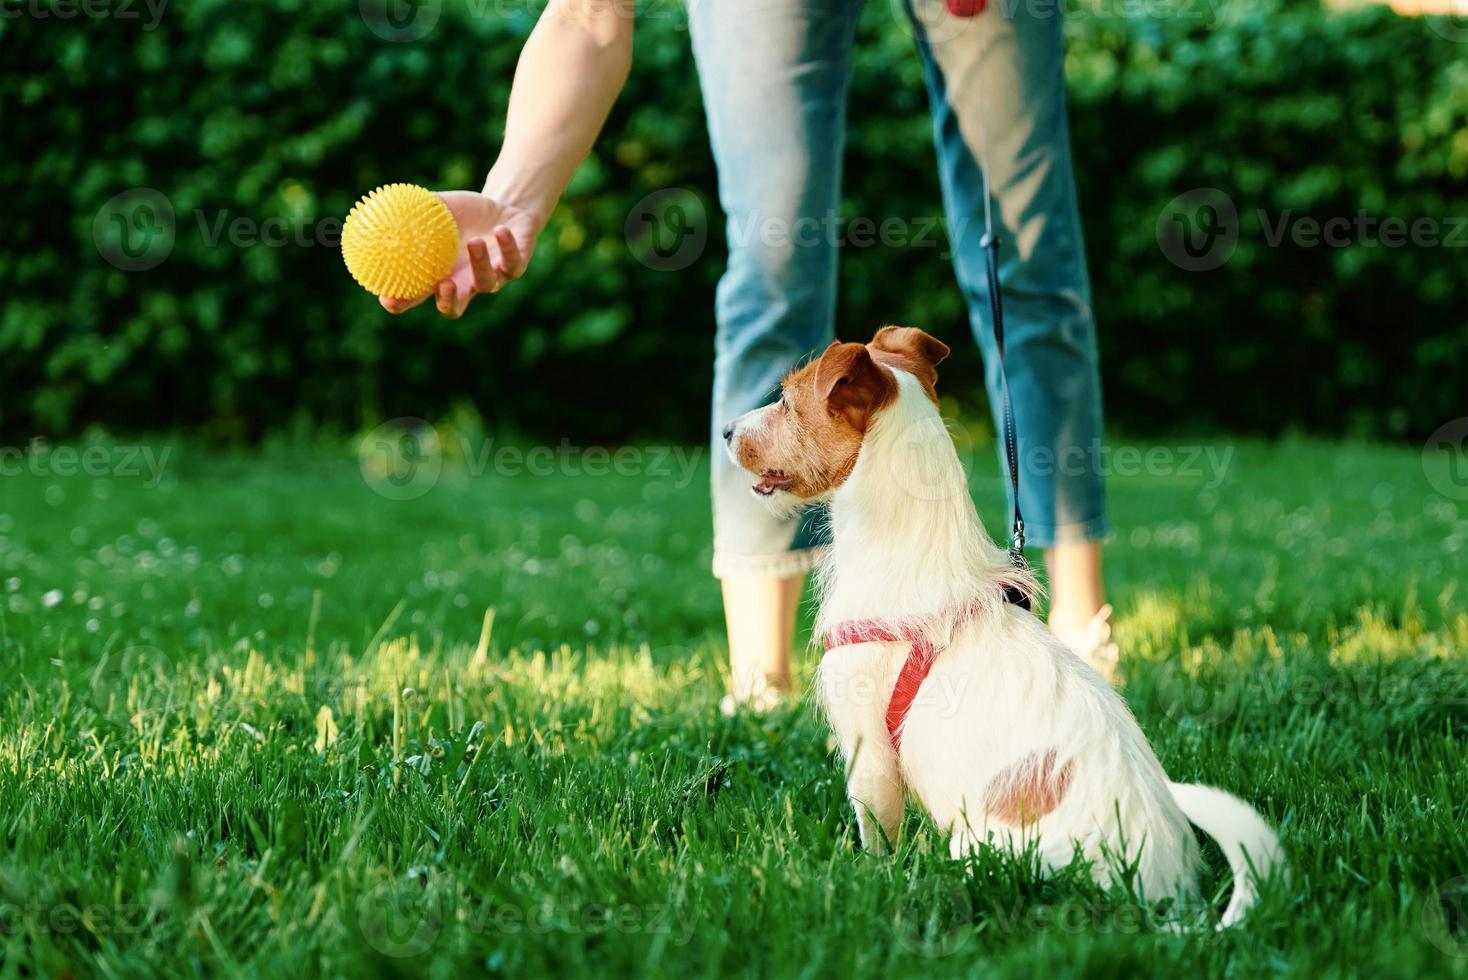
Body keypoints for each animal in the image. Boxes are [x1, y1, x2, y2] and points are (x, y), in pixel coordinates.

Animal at [722, 327, 1285, 927]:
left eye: (785, 401)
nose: (726, 430)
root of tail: (1156, 901)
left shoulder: (867, 750)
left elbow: (876, 835)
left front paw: (869, 881)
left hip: (975, 848)